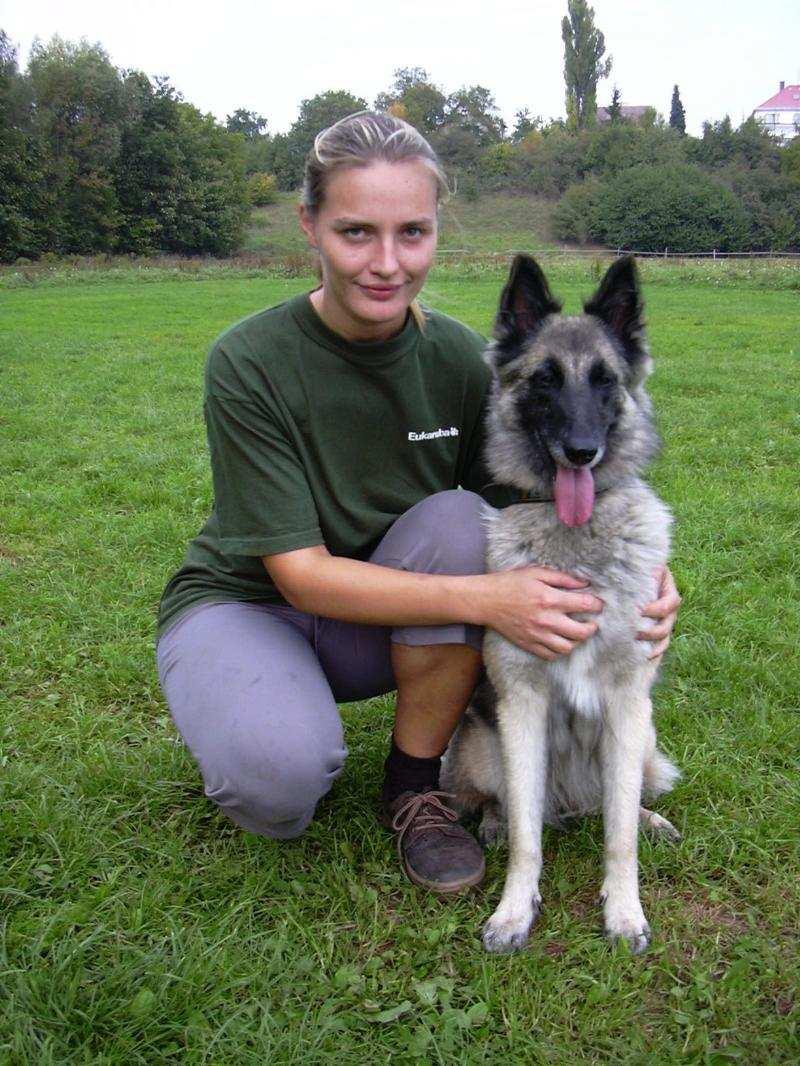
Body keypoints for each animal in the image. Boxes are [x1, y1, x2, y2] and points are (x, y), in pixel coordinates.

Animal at [445, 255, 682, 959]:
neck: (576, 544)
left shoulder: (628, 702)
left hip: (644, 737)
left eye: (605, 382)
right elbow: (529, 839)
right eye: (545, 380)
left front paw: (624, 912)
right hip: (482, 742)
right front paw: (513, 912)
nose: (582, 451)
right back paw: (494, 820)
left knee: (619, 804)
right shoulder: (522, 706)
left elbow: (618, 836)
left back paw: (648, 815)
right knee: (507, 804)